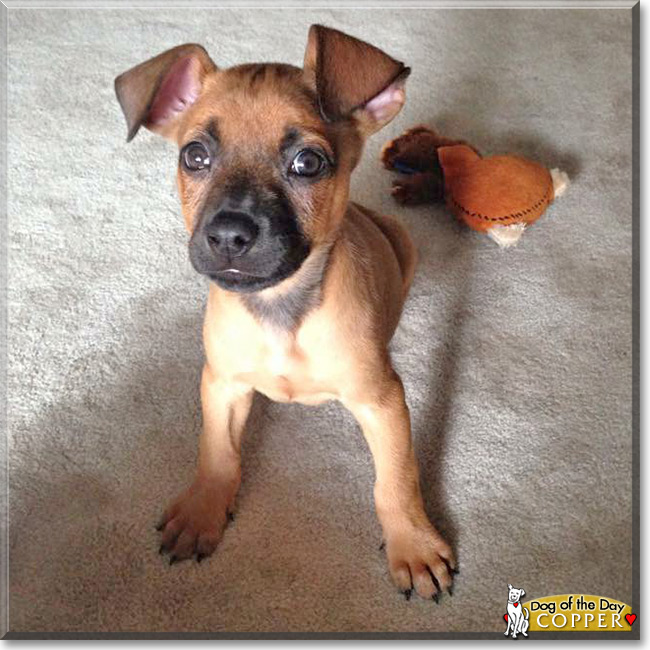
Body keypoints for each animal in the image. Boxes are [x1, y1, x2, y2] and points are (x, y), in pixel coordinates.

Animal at [112, 22, 456, 600]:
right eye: (194, 156)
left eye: (308, 163)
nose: (228, 235)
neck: (281, 309)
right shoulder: (222, 384)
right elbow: (217, 451)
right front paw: (203, 511)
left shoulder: (382, 402)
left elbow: (396, 478)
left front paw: (413, 543)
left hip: (404, 243)